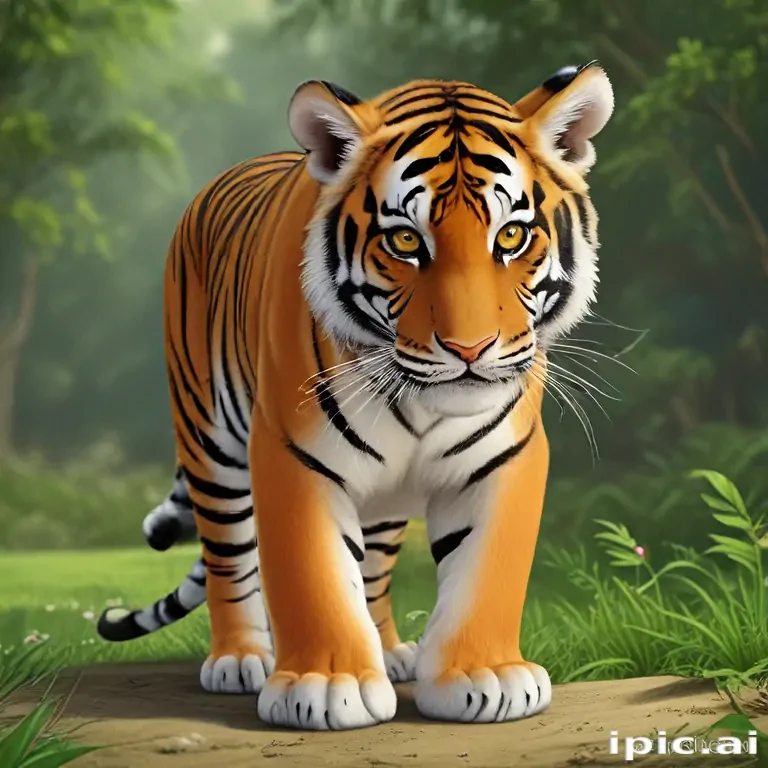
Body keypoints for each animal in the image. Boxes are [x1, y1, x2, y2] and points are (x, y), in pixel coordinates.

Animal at [96, 62, 614, 730]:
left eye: (513, 236)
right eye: (405, 242)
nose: (470, 348)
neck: (420, 407)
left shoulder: (506, 457)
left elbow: (486, 574)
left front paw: (484, 676)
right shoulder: (291, 453)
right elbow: (312, 575)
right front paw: (324, 686)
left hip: (385, 498)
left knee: (372, 570)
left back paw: (391, 652)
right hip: (210, 441)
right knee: (228, 555)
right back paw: (238, 659)